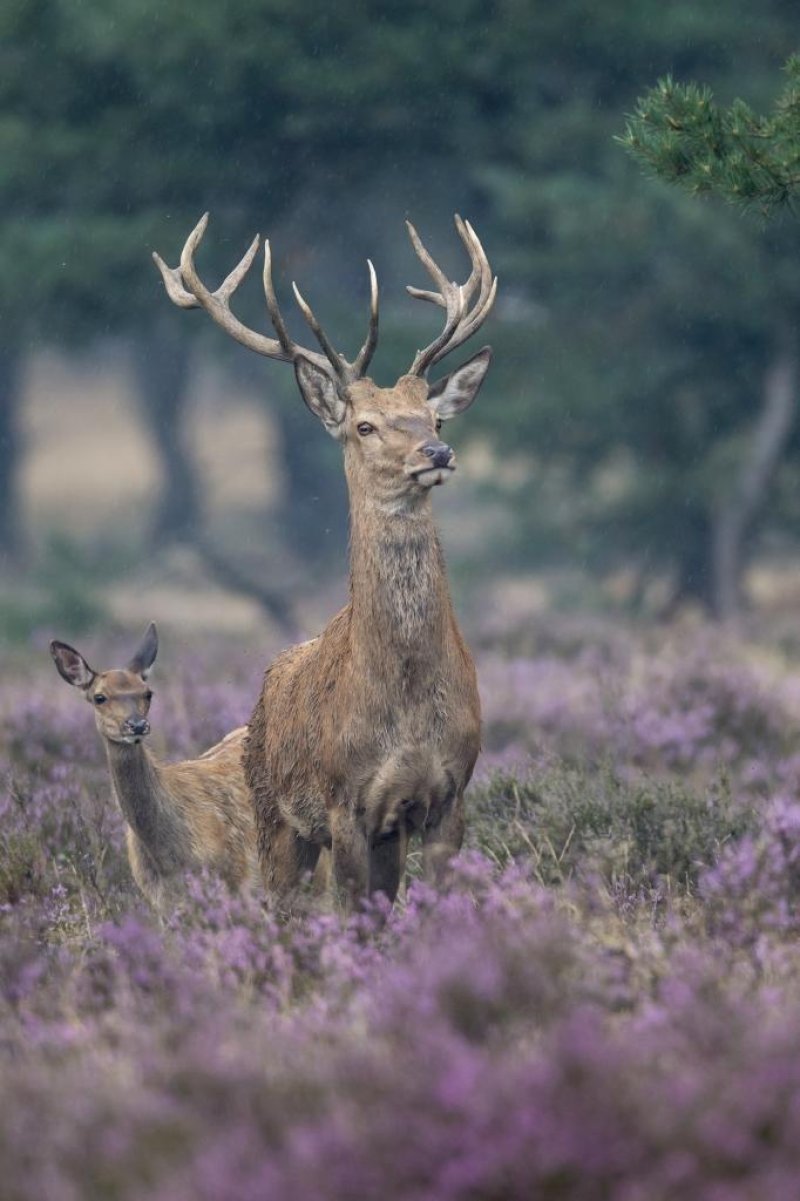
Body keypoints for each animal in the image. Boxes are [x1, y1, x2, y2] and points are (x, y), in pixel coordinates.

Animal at [48, 624, 258, 912]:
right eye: (99, 697)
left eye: (147, 692)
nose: (136, 725)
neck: (169, 859)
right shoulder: (158, 897)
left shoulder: (238, 877)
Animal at [153, 218, 494, 907]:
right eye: (364, 426)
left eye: (435, 417)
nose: (438, 452)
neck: (404, 710)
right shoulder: (345, 805)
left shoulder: (449, 797)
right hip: (275, 816)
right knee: (282, 904)